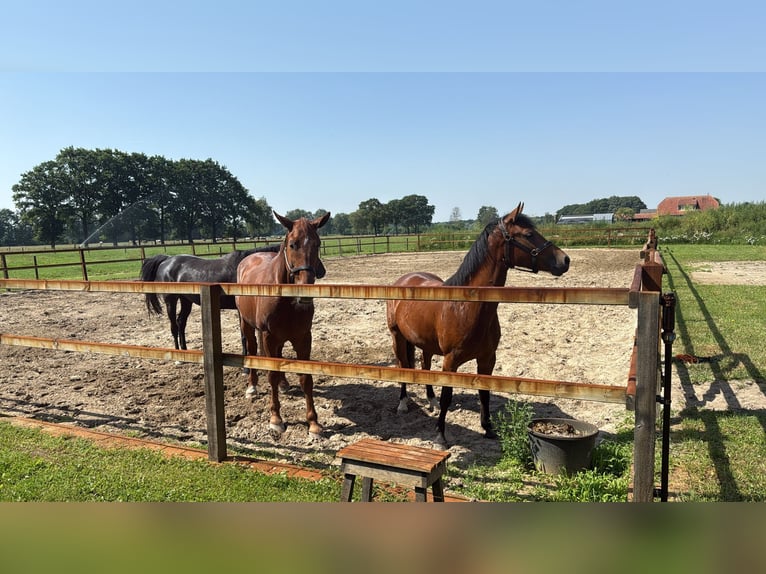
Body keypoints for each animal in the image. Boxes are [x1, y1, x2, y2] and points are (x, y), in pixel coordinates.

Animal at [140, 245, 326, 351]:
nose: (322, 271)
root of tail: (167, 260)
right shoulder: (240, 310)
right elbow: (245, 337)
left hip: (186, 300)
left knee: (181, 323)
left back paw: (185, 350)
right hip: (171, 300)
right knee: (173, 325)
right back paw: (178, 354)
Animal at [236, 211, 330, 440]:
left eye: (317, 244)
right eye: (293, 244)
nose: (305, 291)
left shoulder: (303, 337)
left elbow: (305, 378)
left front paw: (313, 423)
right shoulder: (269, 336)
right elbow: (271, 375)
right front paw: (276, 419)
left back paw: (284, 384)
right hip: (247, 325)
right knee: (252, 348)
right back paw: (252, 386)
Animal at [386, 202, 570, 448]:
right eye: (529, 234)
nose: (564, 260)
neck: (467, 307)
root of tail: (404, 279)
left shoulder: (487, 359)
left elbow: (484, 393)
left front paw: (488, 428)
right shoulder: (451, 362)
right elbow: (447, 397)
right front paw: (440, 435)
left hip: (426, 344)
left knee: (424, 366)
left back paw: (430, 401)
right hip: (397, 337)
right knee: (403, 365)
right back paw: (403, 404)